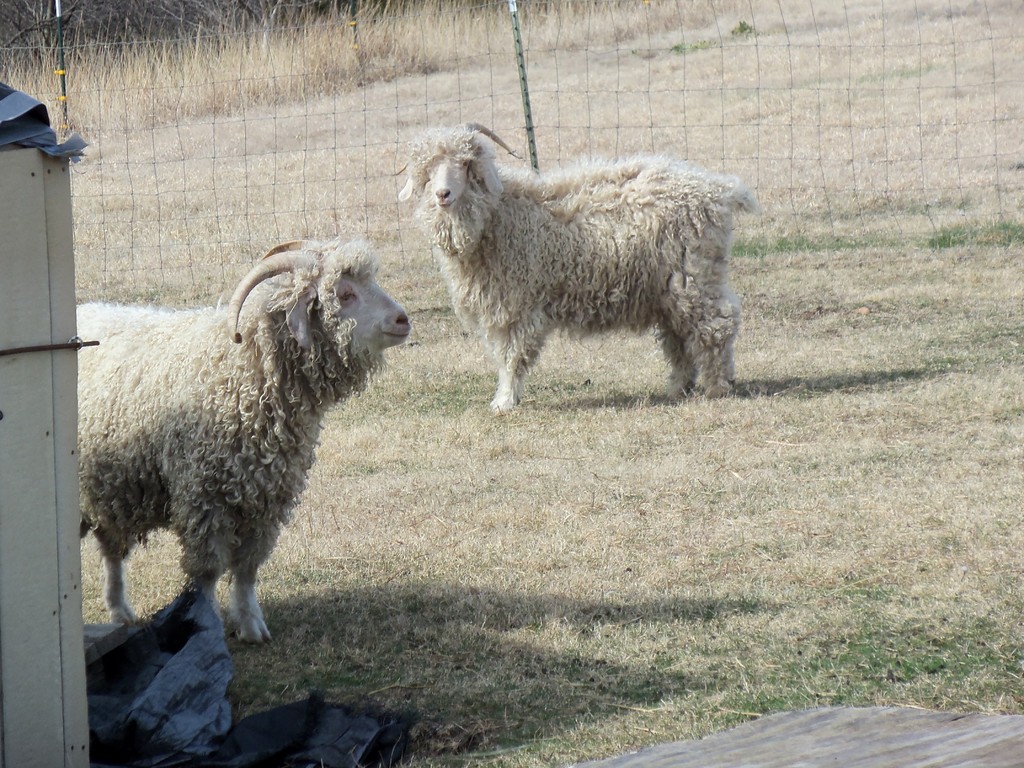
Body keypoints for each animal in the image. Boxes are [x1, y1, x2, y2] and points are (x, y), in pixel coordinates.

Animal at [77, 237, 409, 638]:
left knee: (110, 547)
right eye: (344, 294)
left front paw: (251, 624)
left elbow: (248, 567)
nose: (403, 320)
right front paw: (206, 624)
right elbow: (206, 571)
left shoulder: (267, 497)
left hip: (107, 489)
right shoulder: (203, 496)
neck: (241, 367)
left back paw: (120, 611)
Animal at [399, 124, 761, 415]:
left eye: (465, 164)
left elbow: (512, 356)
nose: (442, 194)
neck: (500, 216)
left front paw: (504, 402)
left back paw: (717, 386)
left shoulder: (518, 305)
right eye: (427, 170)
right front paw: (505, 398)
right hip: (667, 286)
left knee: (718, 323)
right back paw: (678, 387)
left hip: (694, 275)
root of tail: (720, 190)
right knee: (677, 336)